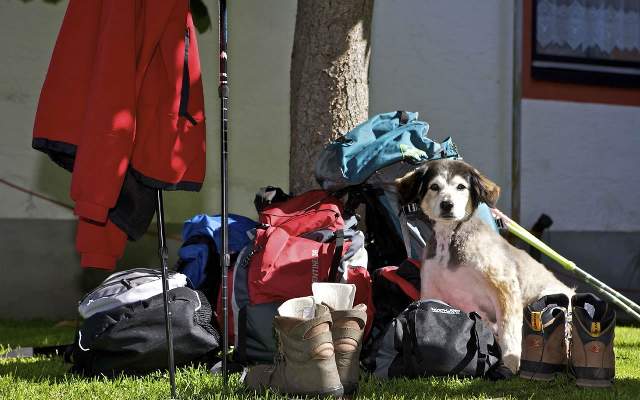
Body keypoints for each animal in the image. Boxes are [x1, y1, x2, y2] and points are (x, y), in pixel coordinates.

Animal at [396, 159, 576, 372]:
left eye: (461, 187)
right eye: (434, 187)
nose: (447, 204)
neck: (450, 240)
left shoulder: (504, 287)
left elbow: (509, 333)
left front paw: (511, 364)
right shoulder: (431, 290)